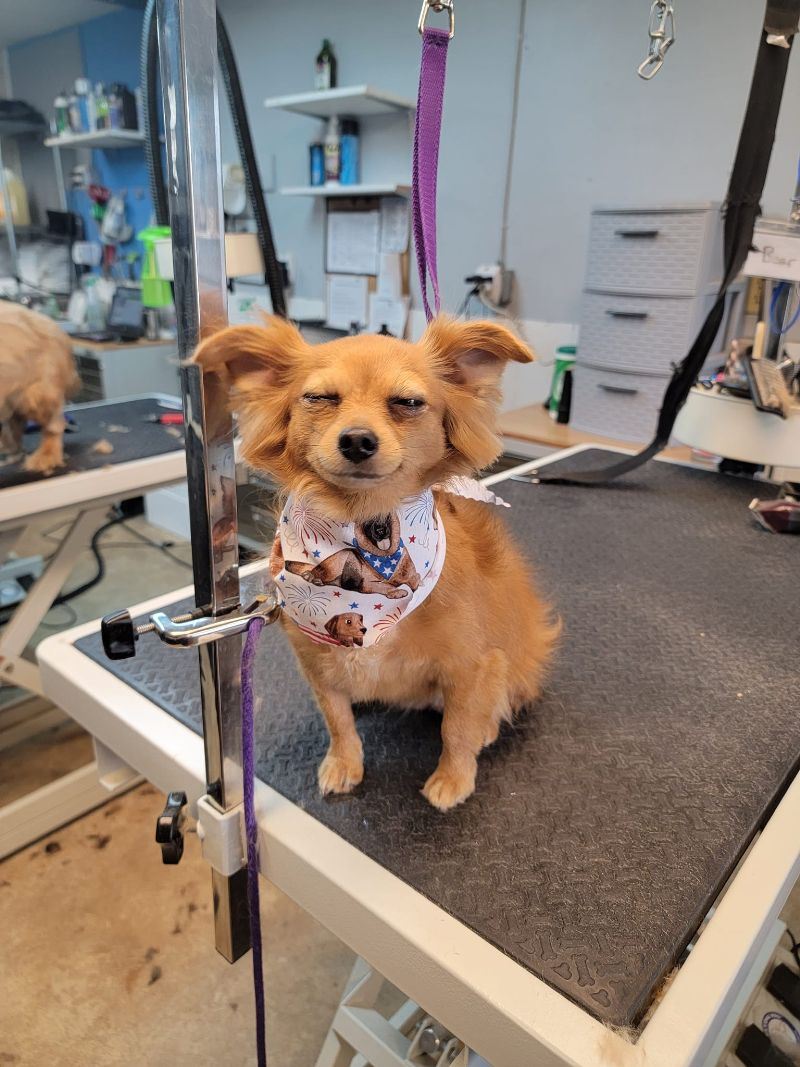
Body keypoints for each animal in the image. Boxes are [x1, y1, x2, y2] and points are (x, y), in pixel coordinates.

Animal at [193, 313, 558, 806]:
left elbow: (457, 727)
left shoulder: (473, 665)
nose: (357, 440)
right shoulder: (317, 665)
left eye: (408, 402)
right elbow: (338, 720)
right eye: (320, 398)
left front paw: (453, 777)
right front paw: (344, 763)